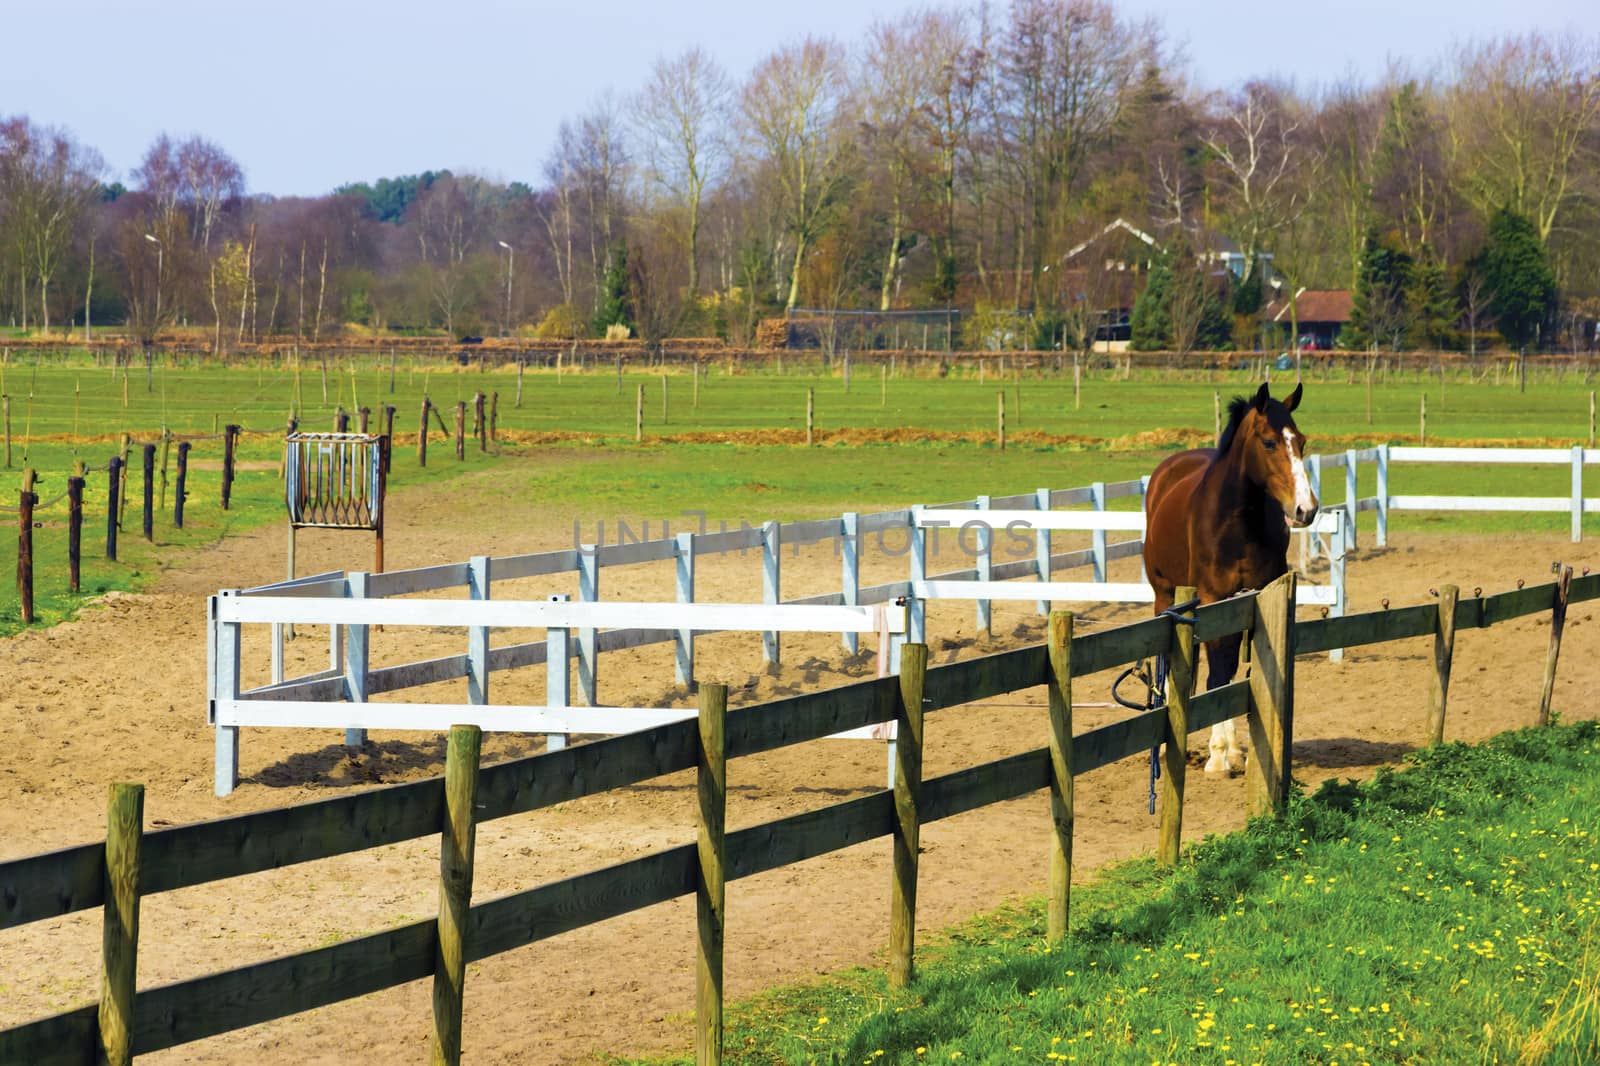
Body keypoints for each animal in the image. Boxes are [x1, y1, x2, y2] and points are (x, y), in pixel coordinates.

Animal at [1145, 382, 1318, 771]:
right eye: (1269, 442)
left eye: (1301, 441)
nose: (1306, 509)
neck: (1236, 521)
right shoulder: (1214, 598)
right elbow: (1219, 672)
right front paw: (1220, 754)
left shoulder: (1256, 595)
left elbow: (1247, 669)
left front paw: (1239, 748)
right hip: (1165, 595)